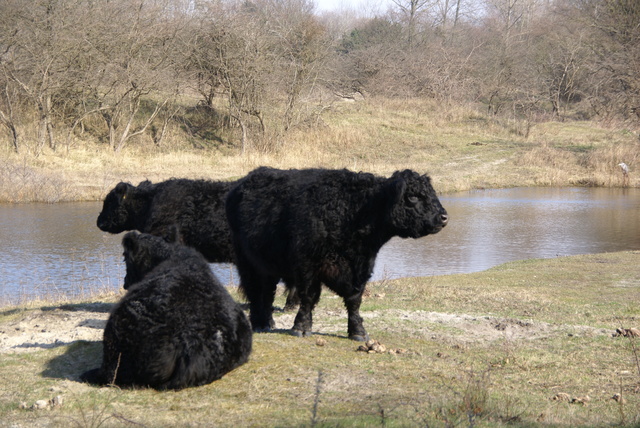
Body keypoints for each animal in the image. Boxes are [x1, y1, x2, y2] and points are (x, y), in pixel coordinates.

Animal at [228, 167, 448, 342]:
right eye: (413, 196)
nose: (444, 217)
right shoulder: (307, 265)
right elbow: (308, 296)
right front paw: (301, 327)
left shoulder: (361, 267)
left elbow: (355, 300)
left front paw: (358, 331)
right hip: (248, 263)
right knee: (256, 292)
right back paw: (259, 324)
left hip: (267, 265)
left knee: (267, 293)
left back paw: (267, 322)